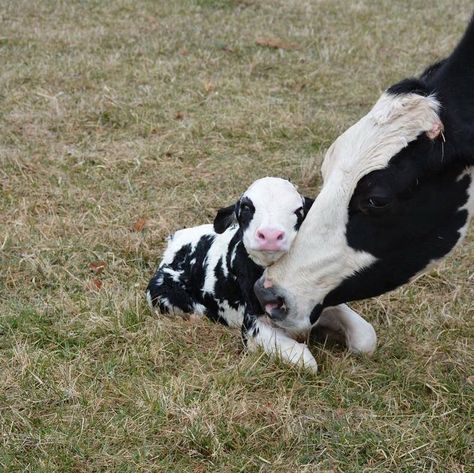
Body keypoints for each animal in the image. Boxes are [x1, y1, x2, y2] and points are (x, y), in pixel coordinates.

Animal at [146, 175, 376, 370]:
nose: (271, 235)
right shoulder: (252, 326)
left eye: (299, 210)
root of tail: (175, 240)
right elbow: (306, 361)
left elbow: (367, 338)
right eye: (247, 207)